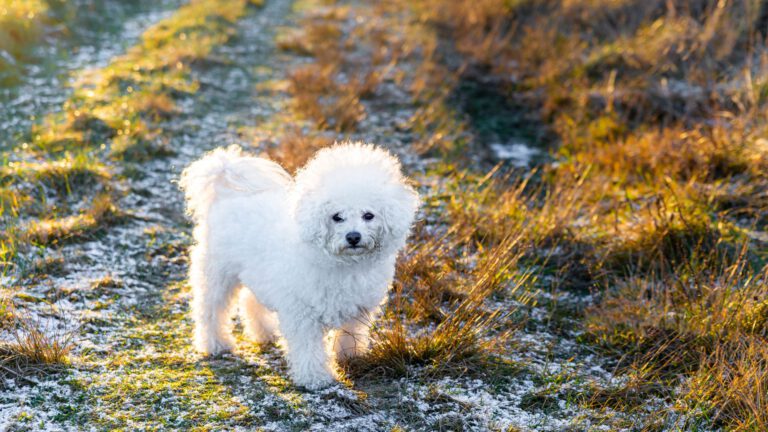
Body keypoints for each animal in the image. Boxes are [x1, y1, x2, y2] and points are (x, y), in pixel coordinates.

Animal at [180, 142, 420, 388]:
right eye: (337, 216)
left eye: (368, 215)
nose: (353, 237)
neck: (343, 264)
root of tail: (226, 192)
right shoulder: (302, 314)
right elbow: (308, 349)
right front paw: (315, 378)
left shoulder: (357, 309)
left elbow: (349, 335)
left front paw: (350, 355)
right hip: (217, 274)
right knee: (211, 311)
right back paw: (215, 343)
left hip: (258, 276)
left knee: (250, 301)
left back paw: (265, 332)